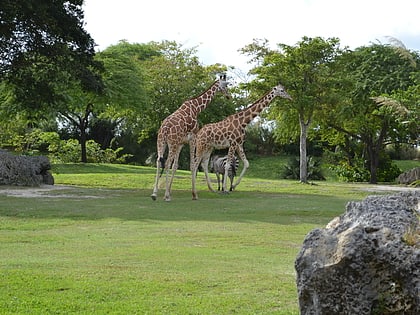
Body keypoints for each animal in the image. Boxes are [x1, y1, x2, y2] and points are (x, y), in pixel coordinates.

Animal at [151, 74, 230, 202]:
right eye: (225, 85)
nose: (228, 96)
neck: (196, 108)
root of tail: (165, 128)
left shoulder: (181, 143)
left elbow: (175, 166)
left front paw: (169, 191)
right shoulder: (192, 138)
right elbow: (192, 165)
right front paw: (194, 194)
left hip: (161, 142)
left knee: (159, 161)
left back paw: (154, 194)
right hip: (171, 143)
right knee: (166, 163)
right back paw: (166, 197)